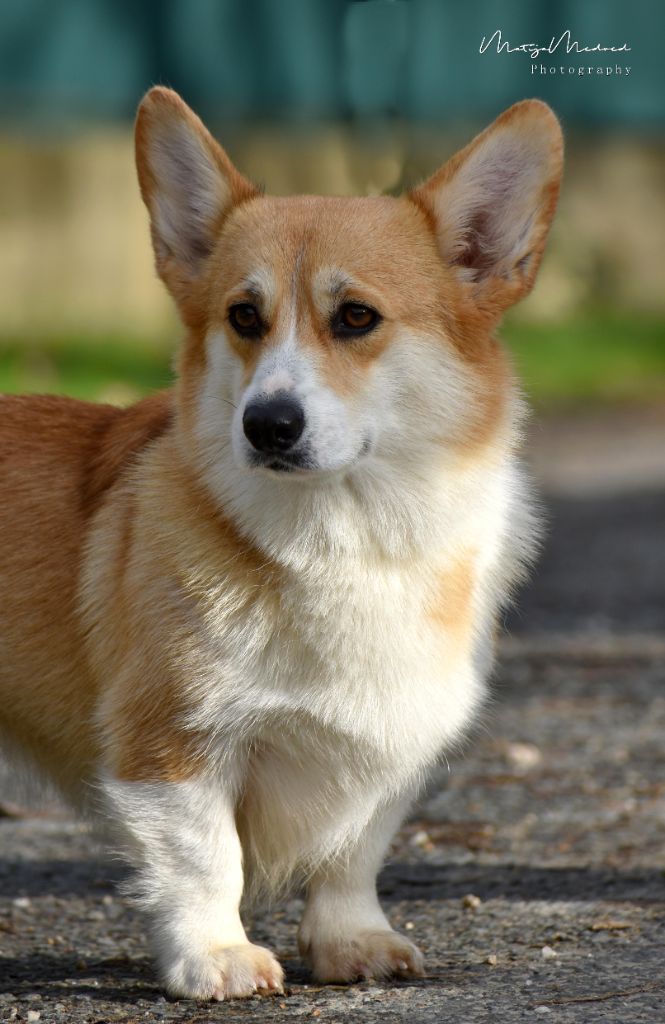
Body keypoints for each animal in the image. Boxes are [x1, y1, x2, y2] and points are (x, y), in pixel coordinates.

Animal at [0, 88, 561, 999]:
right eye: (243, 317)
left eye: (356, 317)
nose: (266, 424)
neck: (346, 539)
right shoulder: (172, 741)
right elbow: (207, 859)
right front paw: (216, 956)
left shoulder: (389, 746)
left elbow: (351, 854)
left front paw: (352, 941)